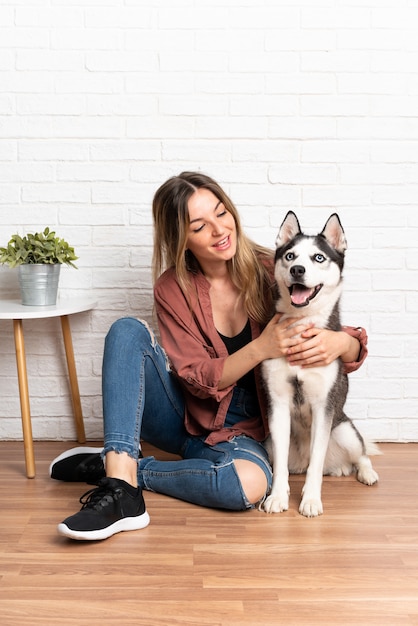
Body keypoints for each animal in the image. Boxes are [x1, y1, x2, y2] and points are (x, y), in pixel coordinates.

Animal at [262, 212, 378, 516]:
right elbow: (279, 467)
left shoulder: (323, 407)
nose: (297, 270)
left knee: (359, 455)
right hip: (267, 443)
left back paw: (366, 473)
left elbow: (316, 460)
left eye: (318, 257)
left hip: (344, 429)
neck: (302, 326)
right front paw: (277, 497)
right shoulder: (277, 405)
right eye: (290, 255)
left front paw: (311, 500)